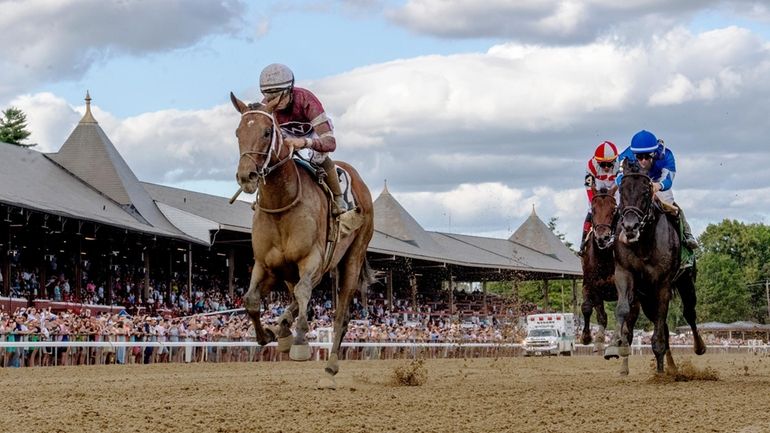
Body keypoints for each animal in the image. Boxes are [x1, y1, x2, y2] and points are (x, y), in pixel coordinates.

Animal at [228, 92, 372, 388]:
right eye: (238, 132)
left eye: (267, 131)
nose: (246, 176)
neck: (281, 204)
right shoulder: (266, 264)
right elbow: (251, 300)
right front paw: (269, 334)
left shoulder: (312, 259)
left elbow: (304, 293)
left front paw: (301, 339)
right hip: (291, 270)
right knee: (296, 296)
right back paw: (282, 329)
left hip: (351, 258)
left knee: (340, 315)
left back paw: (329, 367)